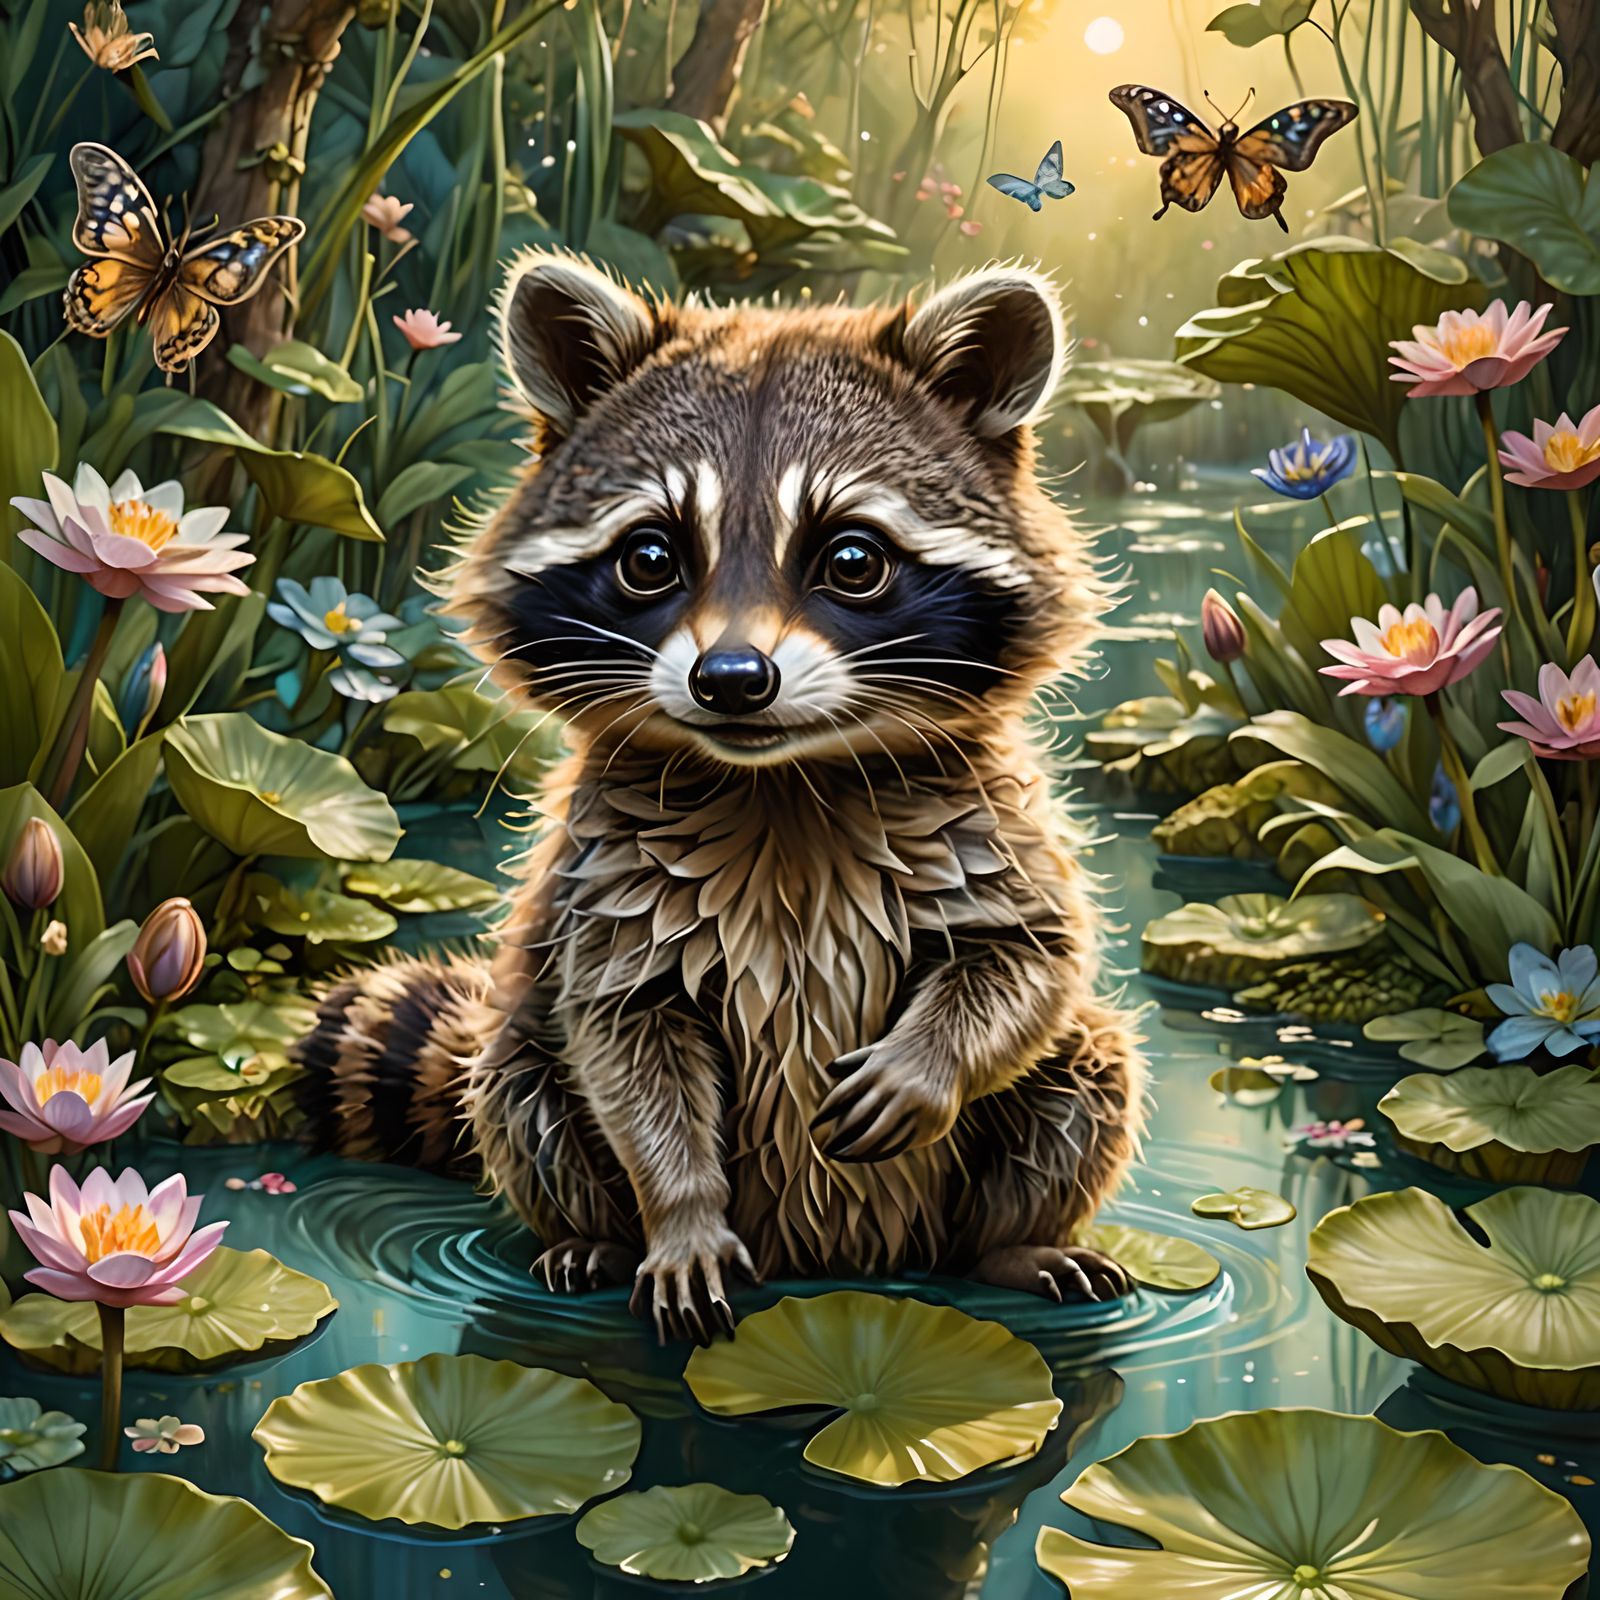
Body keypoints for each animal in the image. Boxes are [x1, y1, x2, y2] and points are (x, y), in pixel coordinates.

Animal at [296, 249, 1149, 1343]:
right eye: (649, 558)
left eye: (853, 559)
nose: (733, 679)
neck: (778, 781)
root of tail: (832, 1264)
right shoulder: (606, 884)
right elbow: (626, 1044)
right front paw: (683, 1214)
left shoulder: (992, 822)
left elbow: (1027, 961)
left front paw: (928, 1064)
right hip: (522, 1060)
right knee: (523, 1083)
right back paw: (593, 1237)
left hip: (1031, 1121)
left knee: (1088, 1066)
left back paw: (1015, 1241)